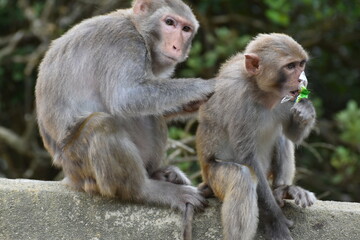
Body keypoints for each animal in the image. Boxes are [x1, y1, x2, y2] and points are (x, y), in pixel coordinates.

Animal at [34, 0, 214, 238]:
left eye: (186, 29)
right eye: (169, 22)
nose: (177, 46)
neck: (137, 28)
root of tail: (69, 176)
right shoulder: (124, 42)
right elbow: (126, 96)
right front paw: (206, 86)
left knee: (152, 114)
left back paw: (158, 174)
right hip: (79, 166)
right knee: (101, 125)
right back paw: (147, 189)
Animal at [195, 32, 316, 239]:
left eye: (301, 64)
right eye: (290, 66)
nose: (302, 80)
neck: (262, 91)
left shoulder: (288, 97)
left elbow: (292, 134)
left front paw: (306, 109)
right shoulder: (238, 96)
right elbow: (247, 158)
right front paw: (275, 220)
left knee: (281, 137)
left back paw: (283, 190)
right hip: (212, 177)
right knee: (241, 176)